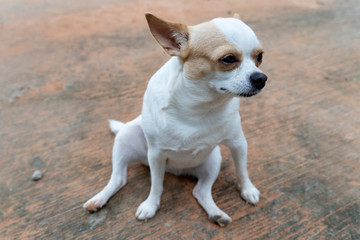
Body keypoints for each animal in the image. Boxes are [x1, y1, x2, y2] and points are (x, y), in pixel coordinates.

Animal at [83, 13, 266, 227]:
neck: (199, 107)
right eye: (228, 59)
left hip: (213, 159)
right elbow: (156, 185)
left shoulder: (238, 144)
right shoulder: (156, 155)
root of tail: (176, 171)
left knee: (200, 191)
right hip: (126, 138)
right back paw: (98, 199)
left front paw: (248, 190)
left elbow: (242, 170)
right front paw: (150, 205)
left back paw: (216, 214)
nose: (261, 78)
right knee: (118, 179)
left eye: (260, 57)